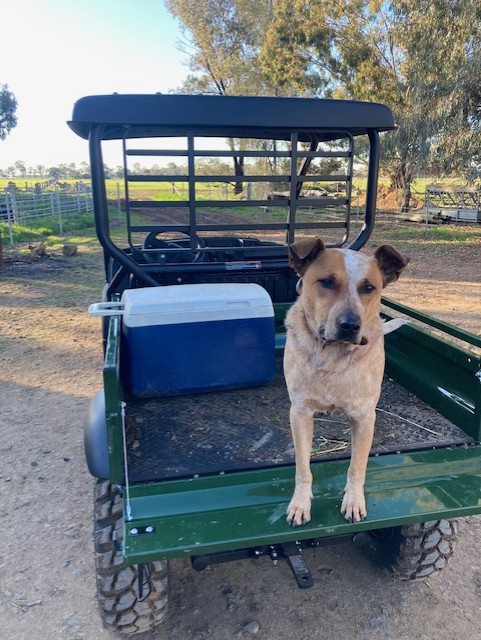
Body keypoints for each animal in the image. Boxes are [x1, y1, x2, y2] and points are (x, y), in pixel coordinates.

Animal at [284, 238, 406, 528]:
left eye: (369, 287)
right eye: (327, 282)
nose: (350, 325)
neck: (332, 356)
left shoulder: (364, 417)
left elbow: (357, 467)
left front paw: (353, 501)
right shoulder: (300, 413)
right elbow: (303, 468)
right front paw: (300, 503)